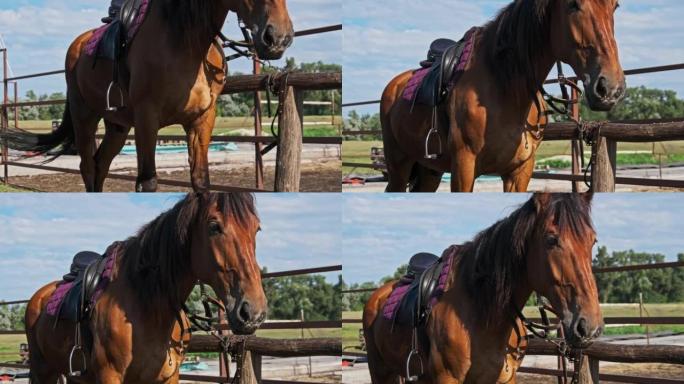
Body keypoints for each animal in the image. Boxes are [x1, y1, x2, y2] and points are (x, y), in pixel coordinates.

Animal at [4, 0, 294, 192]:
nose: (278, 38)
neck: (186, 42)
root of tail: (78, 45)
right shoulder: (147, 119)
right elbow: (148, 181)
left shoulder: (202, 120)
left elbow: (200, 179)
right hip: (84, 117)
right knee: (87, 166)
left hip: (117, 126)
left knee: (100, 165)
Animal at [24, 194, 264, 382]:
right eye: (214, 226)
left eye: (256, 229)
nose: (252, 312)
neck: (148, 307)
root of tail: (39, 297)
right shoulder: (109, 376)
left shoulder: (168, 377)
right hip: (42, 371)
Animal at [366, 194, 600, 382]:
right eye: (551, 239)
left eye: (593, 241)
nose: (588, 326)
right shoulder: (447, 378)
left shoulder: (504, 378)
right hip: (381, 372)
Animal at [380, 0, 624, 192]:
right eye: (573, 4)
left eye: (615, 6)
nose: (610, 88)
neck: (505, 87)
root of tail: (394, 86)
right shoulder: (464, 167)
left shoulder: (519, 171)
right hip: (398, 166)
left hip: (430, 170)